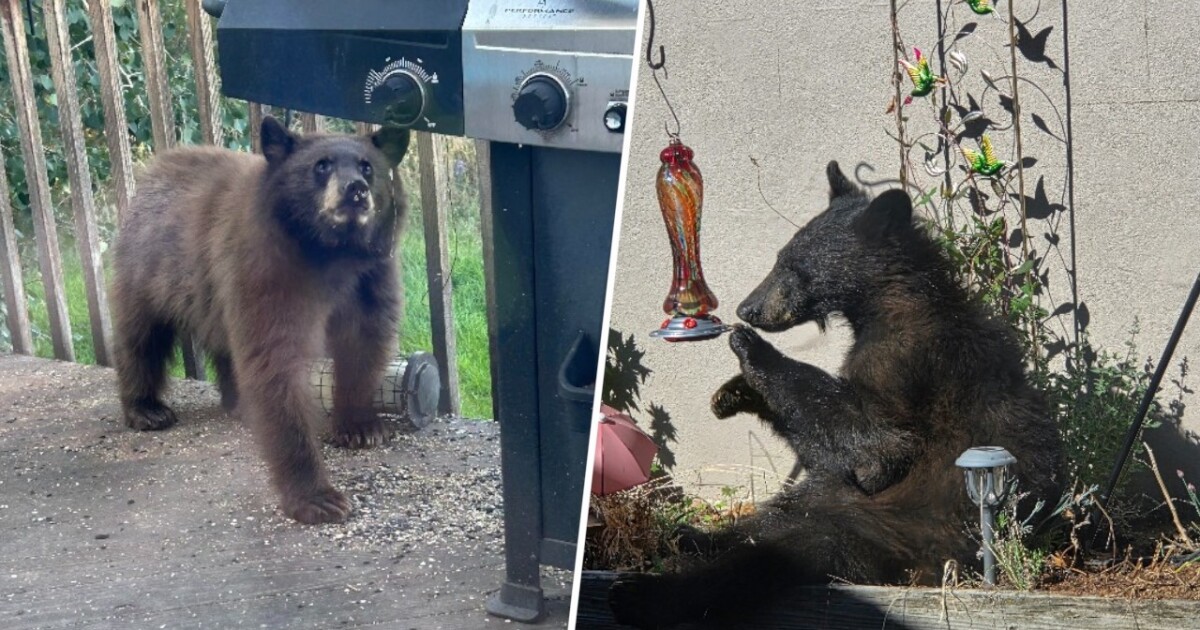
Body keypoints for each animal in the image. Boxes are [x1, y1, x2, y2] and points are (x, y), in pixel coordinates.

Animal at [111, 116, 411, 524]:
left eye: (367, 166)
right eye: (321, 165)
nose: (356, 191)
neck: (331, 254)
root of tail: (153, 169)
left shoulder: (371, 277)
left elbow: (364, 345)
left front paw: (360, 427)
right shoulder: (268, 271)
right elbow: (274, 364)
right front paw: (318, 498)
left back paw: (238, 403)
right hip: (148, 270)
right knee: (140, 337)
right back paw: (147, 409)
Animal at [608, 161, 1063, 628]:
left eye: (792, 266)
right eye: (780, 258)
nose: (746, 309)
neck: (895, 299)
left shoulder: (904, 357)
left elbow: (879, 447)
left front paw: (752, 350)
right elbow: (834, 447)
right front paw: (734, 392)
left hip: (877, 535)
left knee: (767, 559)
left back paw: (643, 594)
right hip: (818, 502)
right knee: (760, 526)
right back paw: (689, 535)